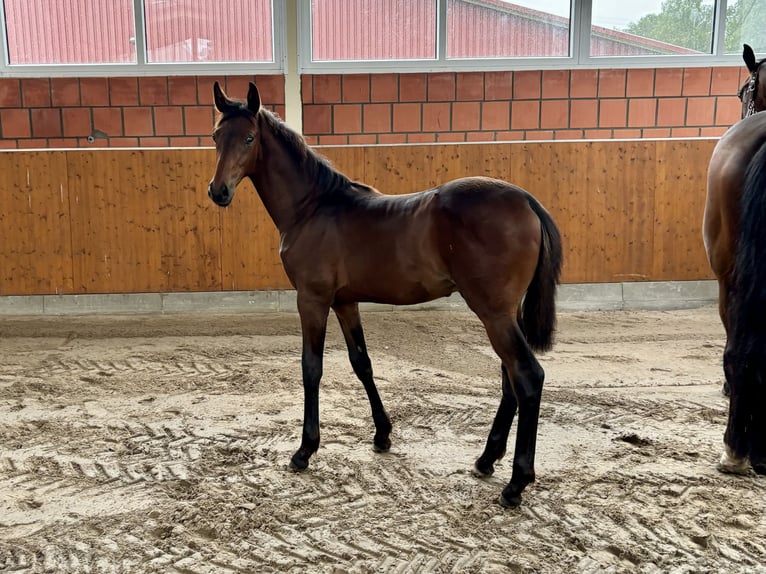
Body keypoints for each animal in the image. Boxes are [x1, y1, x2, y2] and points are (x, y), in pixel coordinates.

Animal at [208, 82, 564, 508]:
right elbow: (362, 363)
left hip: (494, 313)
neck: (313, 206)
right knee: (509, 377)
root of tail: (527, 200)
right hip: (504, 314)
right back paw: (486, 459)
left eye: (248, 138)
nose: (218, 192)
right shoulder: (345, 302)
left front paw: (305, 450)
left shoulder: (312, 299)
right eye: (216, 137)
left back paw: (516, 483)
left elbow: (312, 368)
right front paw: (382, 435)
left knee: (526, 376)